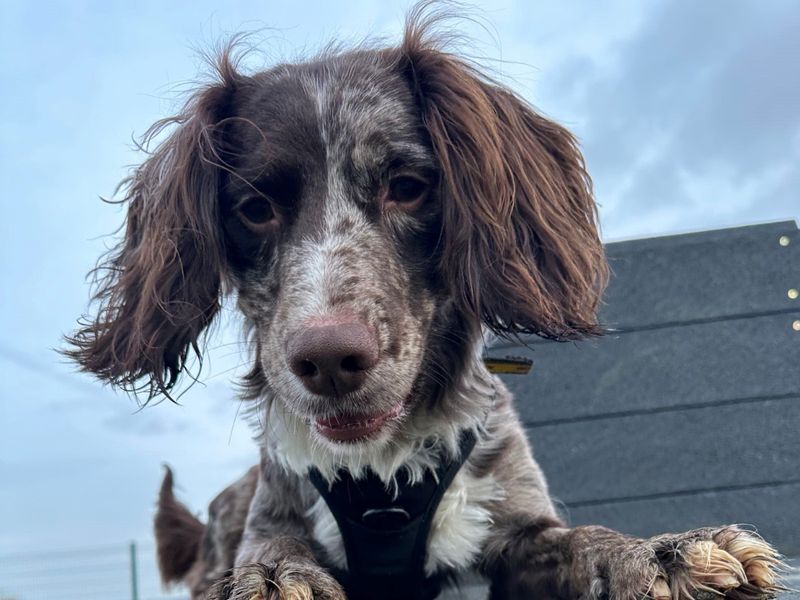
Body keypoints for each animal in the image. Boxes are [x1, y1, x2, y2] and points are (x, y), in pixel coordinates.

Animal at [67, 5, 780, 600]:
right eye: (255, 208)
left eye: (408, 187)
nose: (328, 360)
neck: (381, 475)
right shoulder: (276, 515)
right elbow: (275, 554)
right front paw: (270, 579)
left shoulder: (520, 533)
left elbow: (587, 541)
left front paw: (661, 553)